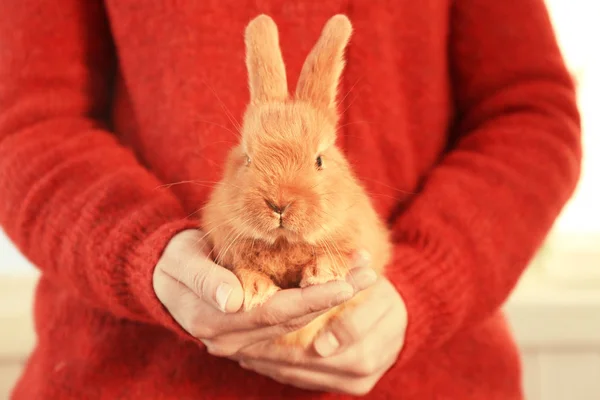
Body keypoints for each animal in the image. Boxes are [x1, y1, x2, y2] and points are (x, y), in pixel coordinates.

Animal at [199, 14, 392, 348]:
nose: (279, 204)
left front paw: (321, 273)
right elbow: (245, 268)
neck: (284, 243)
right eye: (247, 158)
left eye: (319, 160)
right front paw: (256, 292)